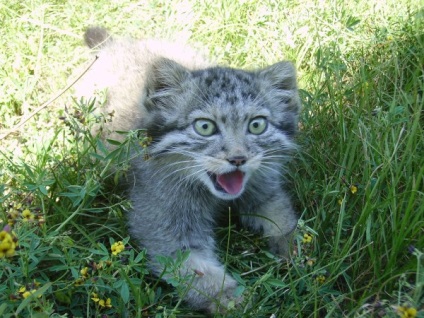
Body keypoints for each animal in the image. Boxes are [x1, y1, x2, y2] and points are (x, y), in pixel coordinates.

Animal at [77, 26, 302, 314]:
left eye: (257, 125)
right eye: (205, 127)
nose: (238, 159)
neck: (214, 196)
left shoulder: (265, 191)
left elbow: (282, 218)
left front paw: (292, 246)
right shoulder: (166, 228)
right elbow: (198, 272)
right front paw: (232, 299)